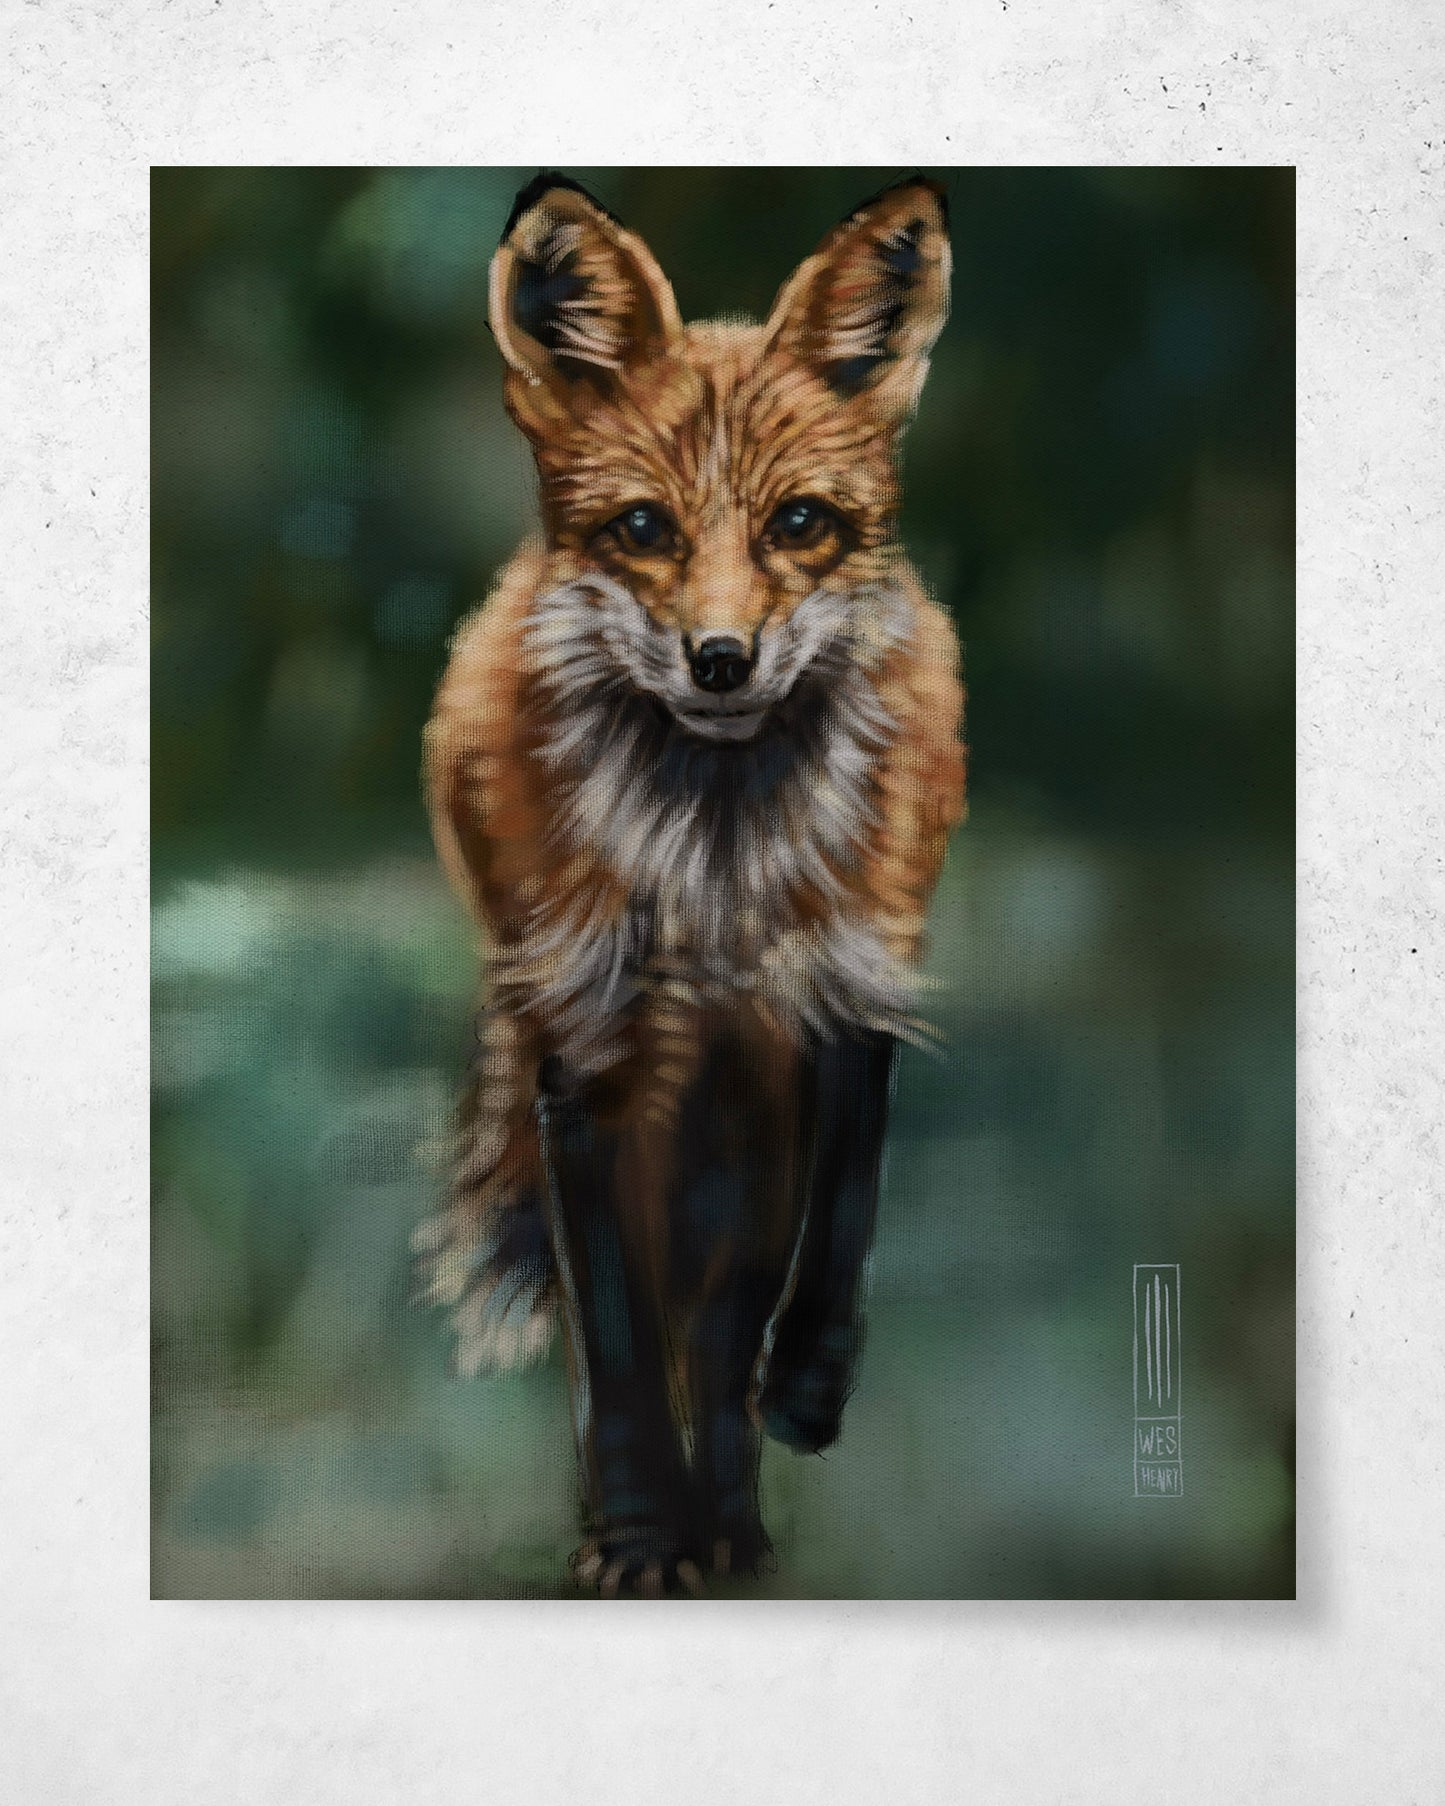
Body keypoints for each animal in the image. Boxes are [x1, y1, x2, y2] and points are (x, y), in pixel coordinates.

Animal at [413, 172, 966, 1596]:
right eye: (644, 529)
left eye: (799, 524)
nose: (720, 658)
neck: (717, 880)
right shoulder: (585, 1052)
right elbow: (614, 1328)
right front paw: (638, 1529)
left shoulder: (827, 1009)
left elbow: (799, 1253)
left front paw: (790, 1408)